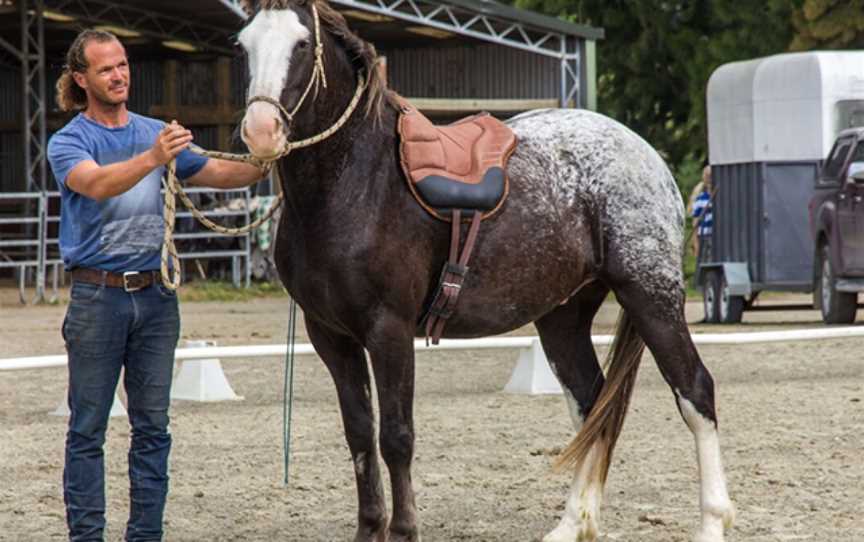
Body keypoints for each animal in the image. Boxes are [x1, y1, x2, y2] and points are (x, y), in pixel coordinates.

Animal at [233, 2, 732, 540]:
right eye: (244, 43)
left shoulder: (389, 331)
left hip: (651, 295)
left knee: (694, 392)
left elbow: (396, 437)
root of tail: (646, 156)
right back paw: (572, 523)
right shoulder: (331, 336)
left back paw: (710, 522)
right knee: (591, 404)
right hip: (563, 316)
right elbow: (360, 435)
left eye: (302, 43)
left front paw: (404, 530)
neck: (355, 182)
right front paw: (370, 528)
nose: (261, 130)